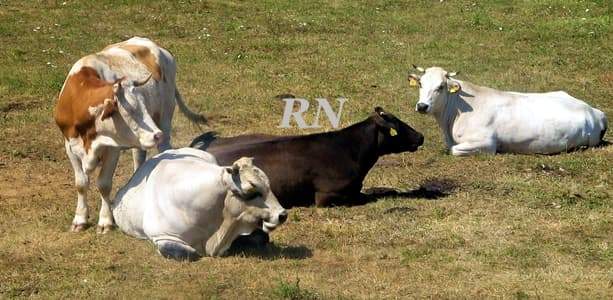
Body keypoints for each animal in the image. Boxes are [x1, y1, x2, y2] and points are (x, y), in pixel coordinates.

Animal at [54, 37, 206, 233]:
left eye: (142, 105)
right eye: (130, 110)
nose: (156, 135)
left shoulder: (112, 149)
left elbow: (103, 184)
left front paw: (105, 221)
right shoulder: (70, 146)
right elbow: (81, 183)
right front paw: (79, 219)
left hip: (165, 117)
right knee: (139, 158)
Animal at [408, 65, 604, 155]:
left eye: (441, 86)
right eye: (420, 83)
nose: (422, 106)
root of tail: (594, 111)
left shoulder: (486, 143)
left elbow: (454, 150)